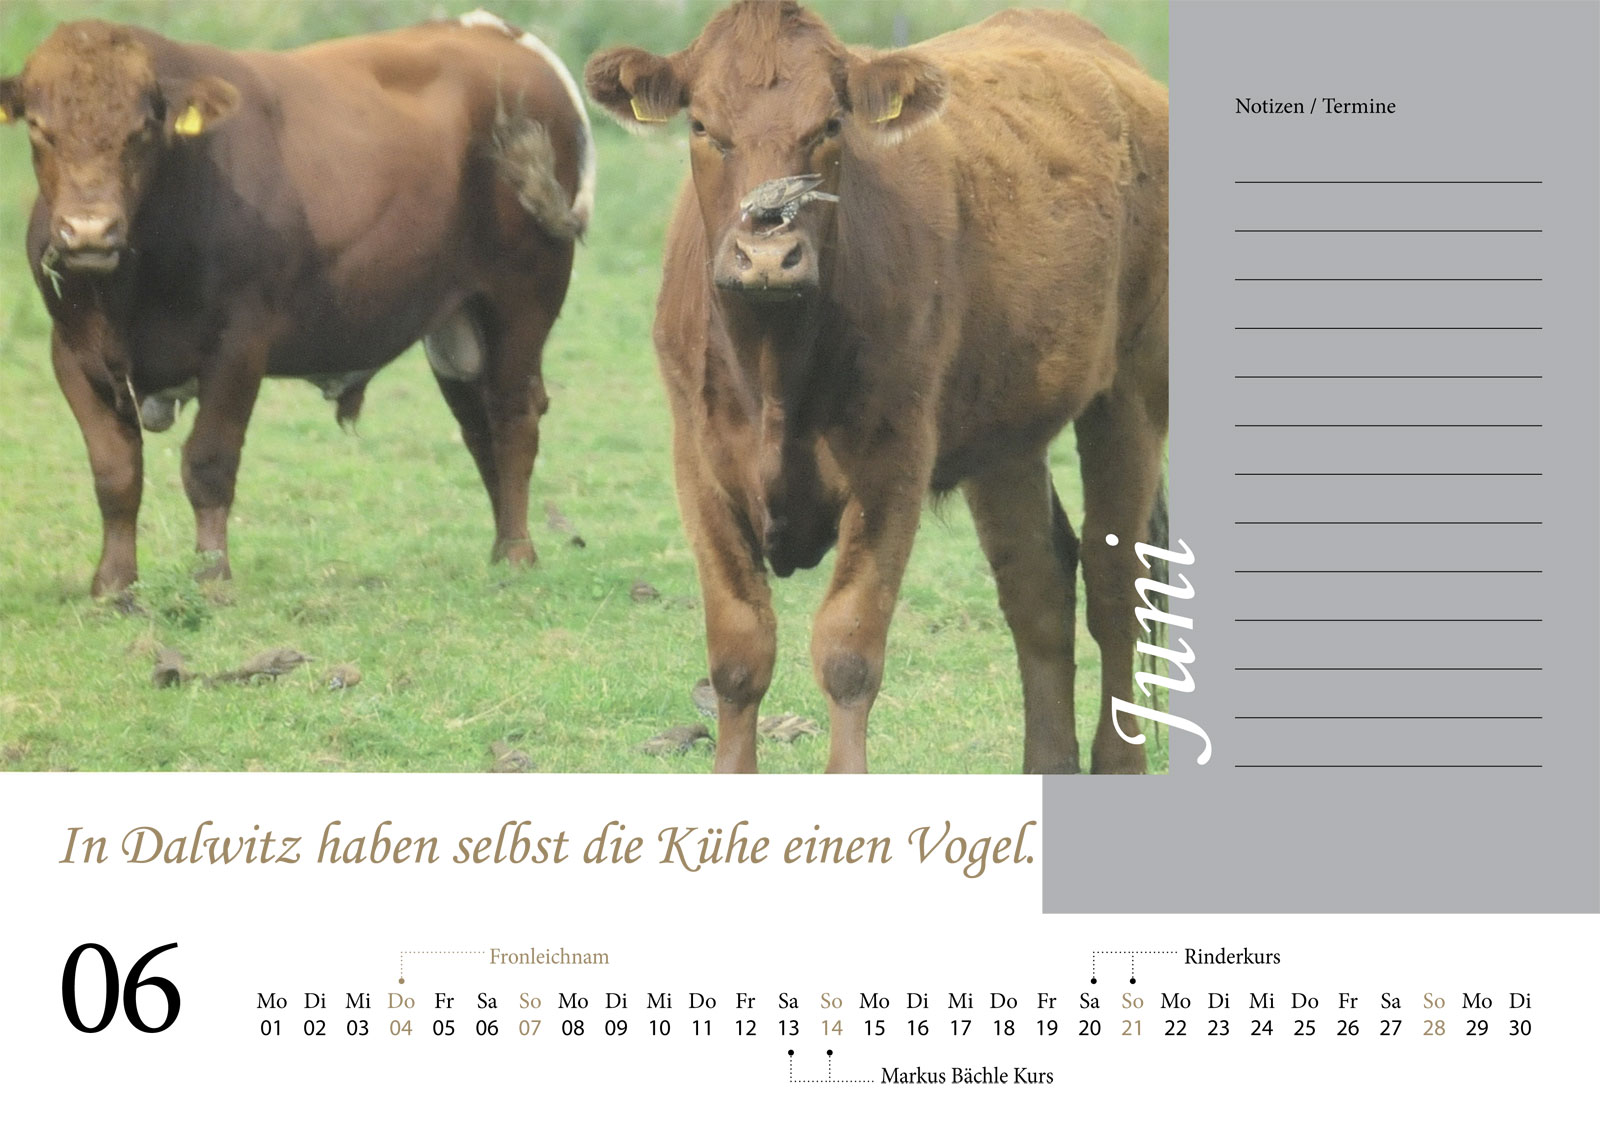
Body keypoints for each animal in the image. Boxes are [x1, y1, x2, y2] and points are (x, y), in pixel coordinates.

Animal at [0, 10, 594, 596]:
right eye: (39, 128)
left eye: (142, 129)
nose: (89, 230)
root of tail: (487, 30)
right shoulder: (72, 354)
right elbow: (115, 473)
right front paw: (113, 586)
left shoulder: (238, 346)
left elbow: (209, 464)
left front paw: (212, 577)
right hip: (457, 326)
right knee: (478, 425)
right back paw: (498, 550)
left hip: (521, 299)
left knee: (513, 418)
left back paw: (517, 553)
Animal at [585, 2, 1167, 773]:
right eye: (703, 125)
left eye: (831, 125)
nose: (767, 255)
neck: (774, 368)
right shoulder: (699, 463)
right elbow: (739, 655)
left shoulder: (893, 463)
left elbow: (848, 651)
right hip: (1006, 433)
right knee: (1037, 587)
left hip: (1131, 394)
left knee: (1115, 588)